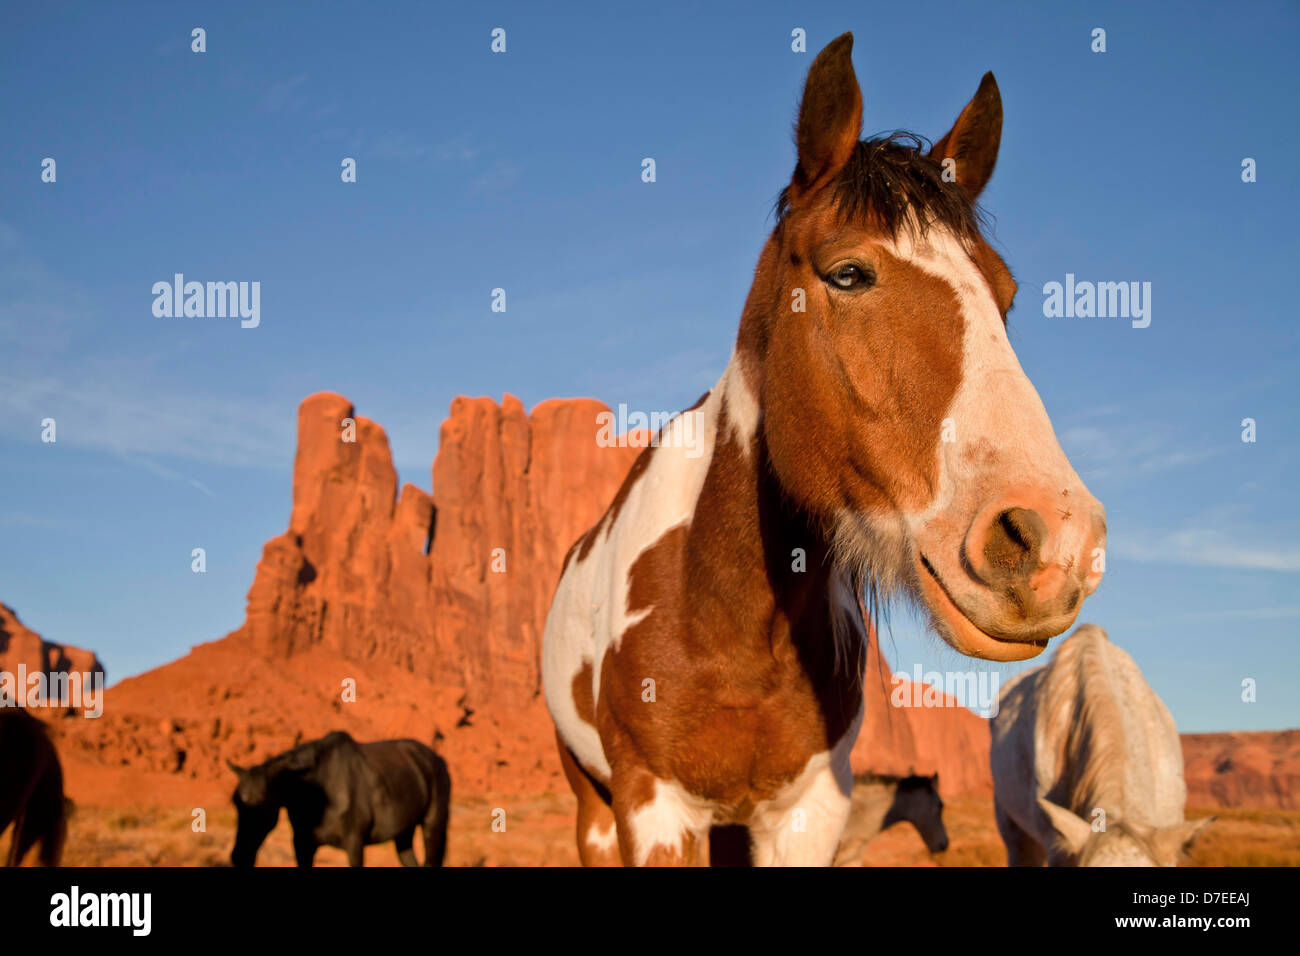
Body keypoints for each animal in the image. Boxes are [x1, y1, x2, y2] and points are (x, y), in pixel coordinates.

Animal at [228, 730, 450, 867]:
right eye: (236, 803)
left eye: (261, 806)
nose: (239, 856)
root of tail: (436, 758)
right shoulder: (302, 846)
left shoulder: (354, 846)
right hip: (403, 834)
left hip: (433, 827)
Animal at [542, 31, 1107, 866]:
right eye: (847, 272)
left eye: (1005, 296)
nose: (1051, 542)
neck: (728, 619)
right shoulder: (652, 806)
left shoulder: (808, 813)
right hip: (594, 802)